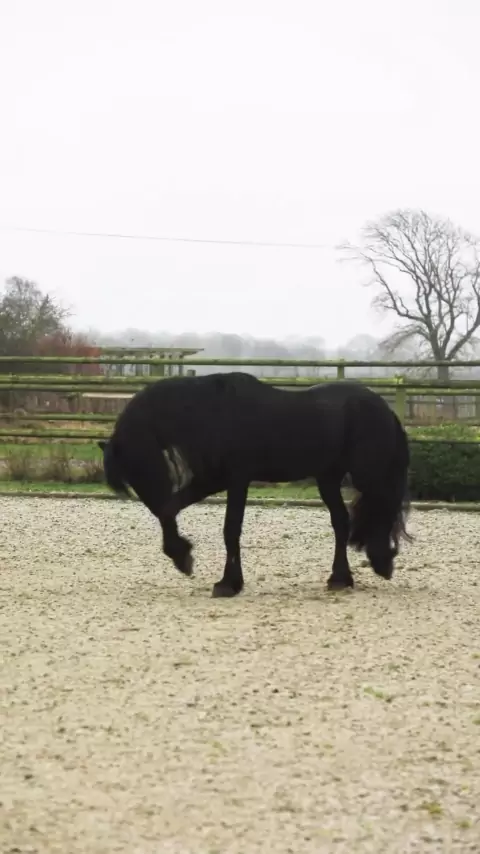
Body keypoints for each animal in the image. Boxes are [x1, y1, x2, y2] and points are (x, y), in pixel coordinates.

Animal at [98, 372, 412, 597]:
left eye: (135, 466)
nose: (150, 499)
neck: (208, 412)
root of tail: (383, 408)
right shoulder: (210, 481)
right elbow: (169, 510)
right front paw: (182, 557)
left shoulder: (236, 480)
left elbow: (230, 529)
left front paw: (227, 584)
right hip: (328, 479)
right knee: (342, 521)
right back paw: (340, 578)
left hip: (367, 475)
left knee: (381, 508)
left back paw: (381, 563)